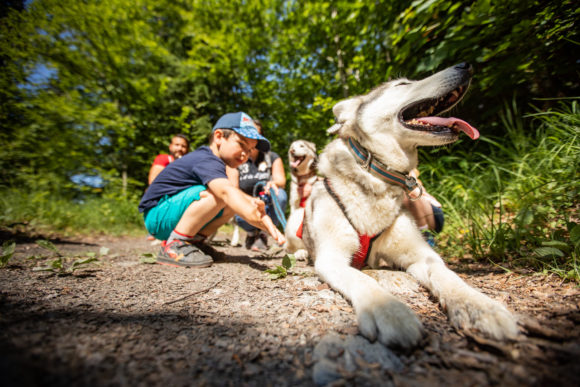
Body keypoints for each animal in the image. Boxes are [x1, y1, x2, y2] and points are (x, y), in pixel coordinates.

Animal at [288, 63, 520, 348]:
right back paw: (299, 252)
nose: (466, 65)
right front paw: (389, 311)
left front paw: (479, 306)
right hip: (296, 220)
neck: (376, 177)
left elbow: (449, 277)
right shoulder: (332, 258)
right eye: (401, 84)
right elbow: (362, 279)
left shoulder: (423, 255)